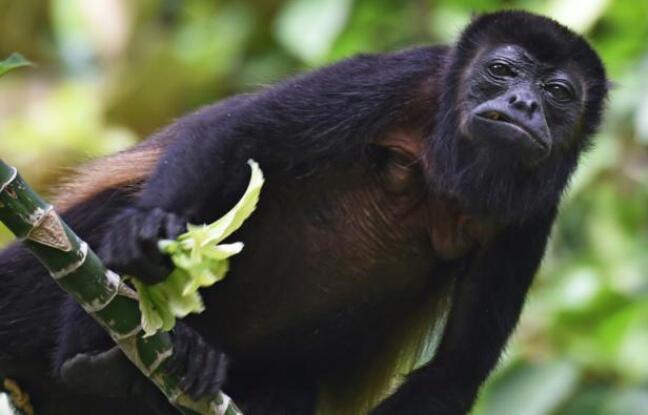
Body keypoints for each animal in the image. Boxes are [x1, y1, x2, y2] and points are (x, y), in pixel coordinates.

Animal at [0, 9, 608, 415]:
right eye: (501, 71)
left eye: (558, 92)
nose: (524, 104)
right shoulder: (404, 78)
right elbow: (239, 134)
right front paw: (147, 232)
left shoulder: (532, 217)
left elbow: (456, 369)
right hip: (33, 278)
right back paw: (96, 364)